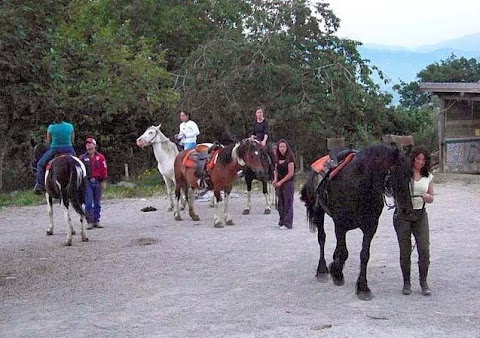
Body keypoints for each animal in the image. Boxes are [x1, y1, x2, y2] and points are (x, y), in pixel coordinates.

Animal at [300, 144, 412, 300]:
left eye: (410, 175)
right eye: (396, 175)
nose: (407, 209)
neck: (359, 186)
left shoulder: (370, 227)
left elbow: (364, 255)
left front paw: (363, 287)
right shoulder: (340, 225)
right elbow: (343, 252)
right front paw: (336, 273)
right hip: (318, 213)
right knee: (322, 238)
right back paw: (322, 270)